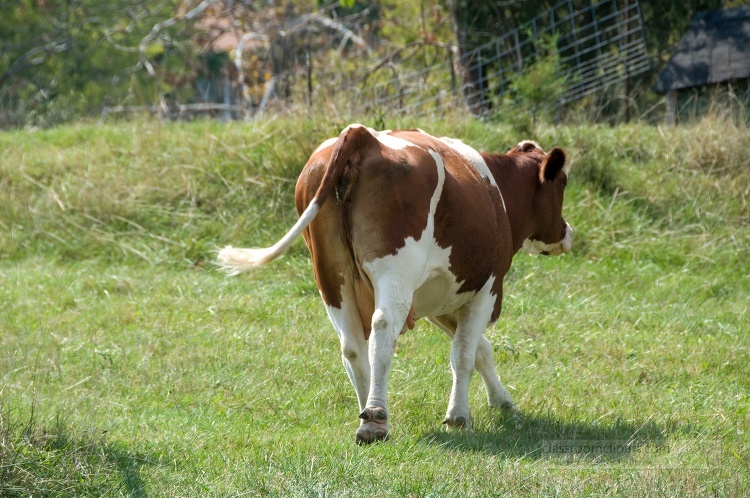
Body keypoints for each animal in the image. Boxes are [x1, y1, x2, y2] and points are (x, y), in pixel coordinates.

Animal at [220, 124, 572, 444]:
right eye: (564, 182)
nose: (567, 232)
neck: (497, 190)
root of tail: (362, 134)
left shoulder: (442, 301)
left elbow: (480, 350)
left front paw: (503, 402)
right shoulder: (486, 290)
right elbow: (464, 353)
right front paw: (459, 416)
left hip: (332, 278)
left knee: (352, 346)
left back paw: (368, 413)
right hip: (395, 274)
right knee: (382, 331)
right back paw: (375, 417)